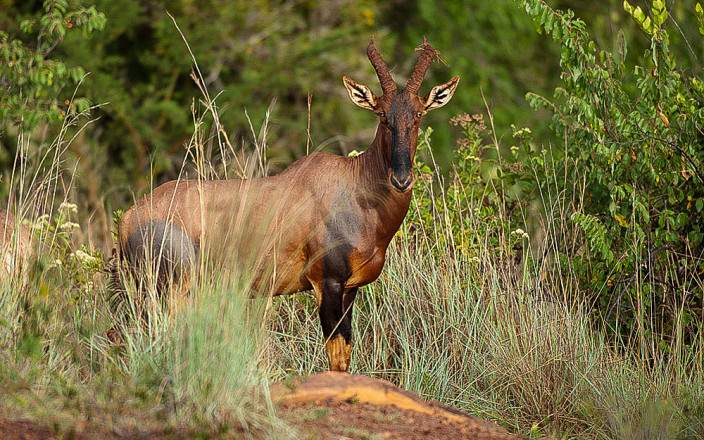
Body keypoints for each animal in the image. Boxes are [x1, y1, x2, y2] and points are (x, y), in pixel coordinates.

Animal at [118, 38, 460, 372]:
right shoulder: (328, 283)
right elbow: (336, 361)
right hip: (168, 289)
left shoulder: (351, 289)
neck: (354, 186)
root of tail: (129, 217)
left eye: (418, 114)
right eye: (381, 115)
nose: (401, 179)